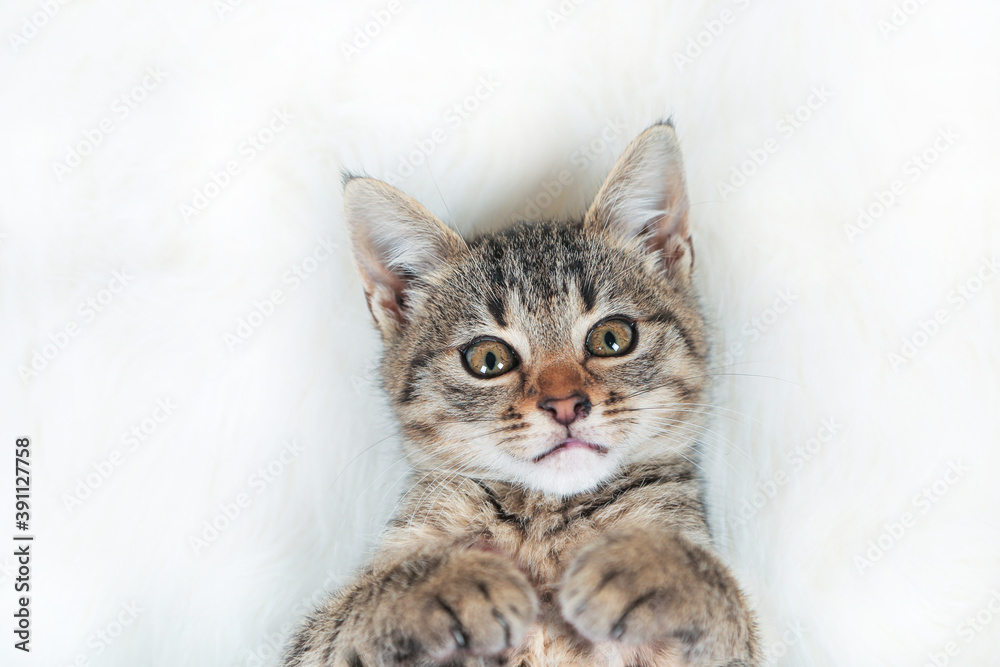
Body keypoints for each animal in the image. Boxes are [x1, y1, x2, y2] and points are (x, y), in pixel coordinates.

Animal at [286, 124, 760, 667]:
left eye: (612, 337)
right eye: (488, 359)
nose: (565, 405)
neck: (546, 521)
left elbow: (726, 604)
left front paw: (649, 566)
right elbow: (346, 619)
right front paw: (454, 581)